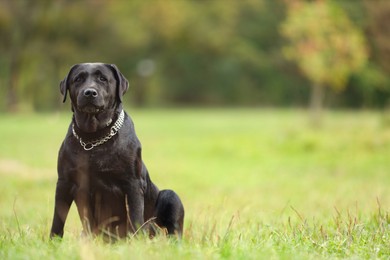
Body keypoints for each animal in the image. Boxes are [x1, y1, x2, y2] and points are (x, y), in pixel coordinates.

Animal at [50, 63, 184, 240]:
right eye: (78, 79)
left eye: (103, 78)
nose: (90, 92)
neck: (93, 138)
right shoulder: (64, 182)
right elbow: (58, 218)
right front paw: (52, 242)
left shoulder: (133, 183)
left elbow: (135, 217)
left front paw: (138, 241)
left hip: (170, 197)